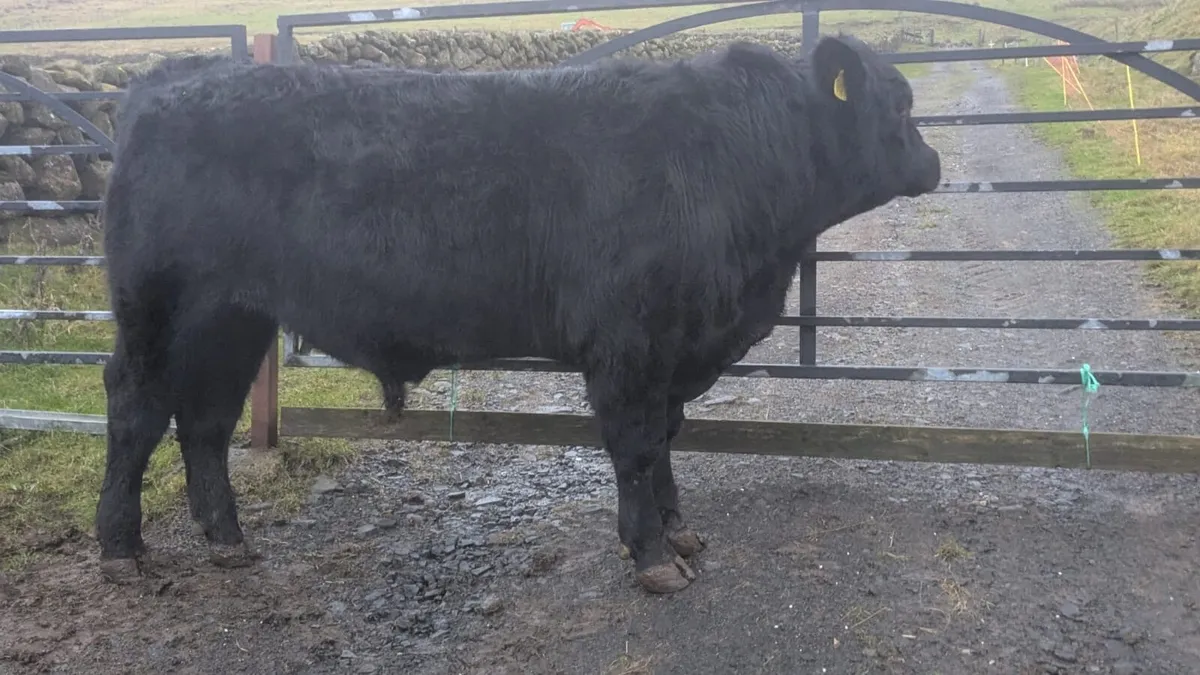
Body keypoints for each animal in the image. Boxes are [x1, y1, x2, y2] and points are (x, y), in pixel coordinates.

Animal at [96, 34, 940, 594]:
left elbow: (667, 440)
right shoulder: (629, 348)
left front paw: (679, 530)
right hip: (158, 309)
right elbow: (636, 448)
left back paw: (226, 539)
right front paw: (652, 556)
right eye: (900, 104)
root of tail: (169, 79)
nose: (934, 162)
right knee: (137, 407)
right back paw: (121, 547)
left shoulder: (672, 352)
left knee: (204, 419)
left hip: (232, 319)